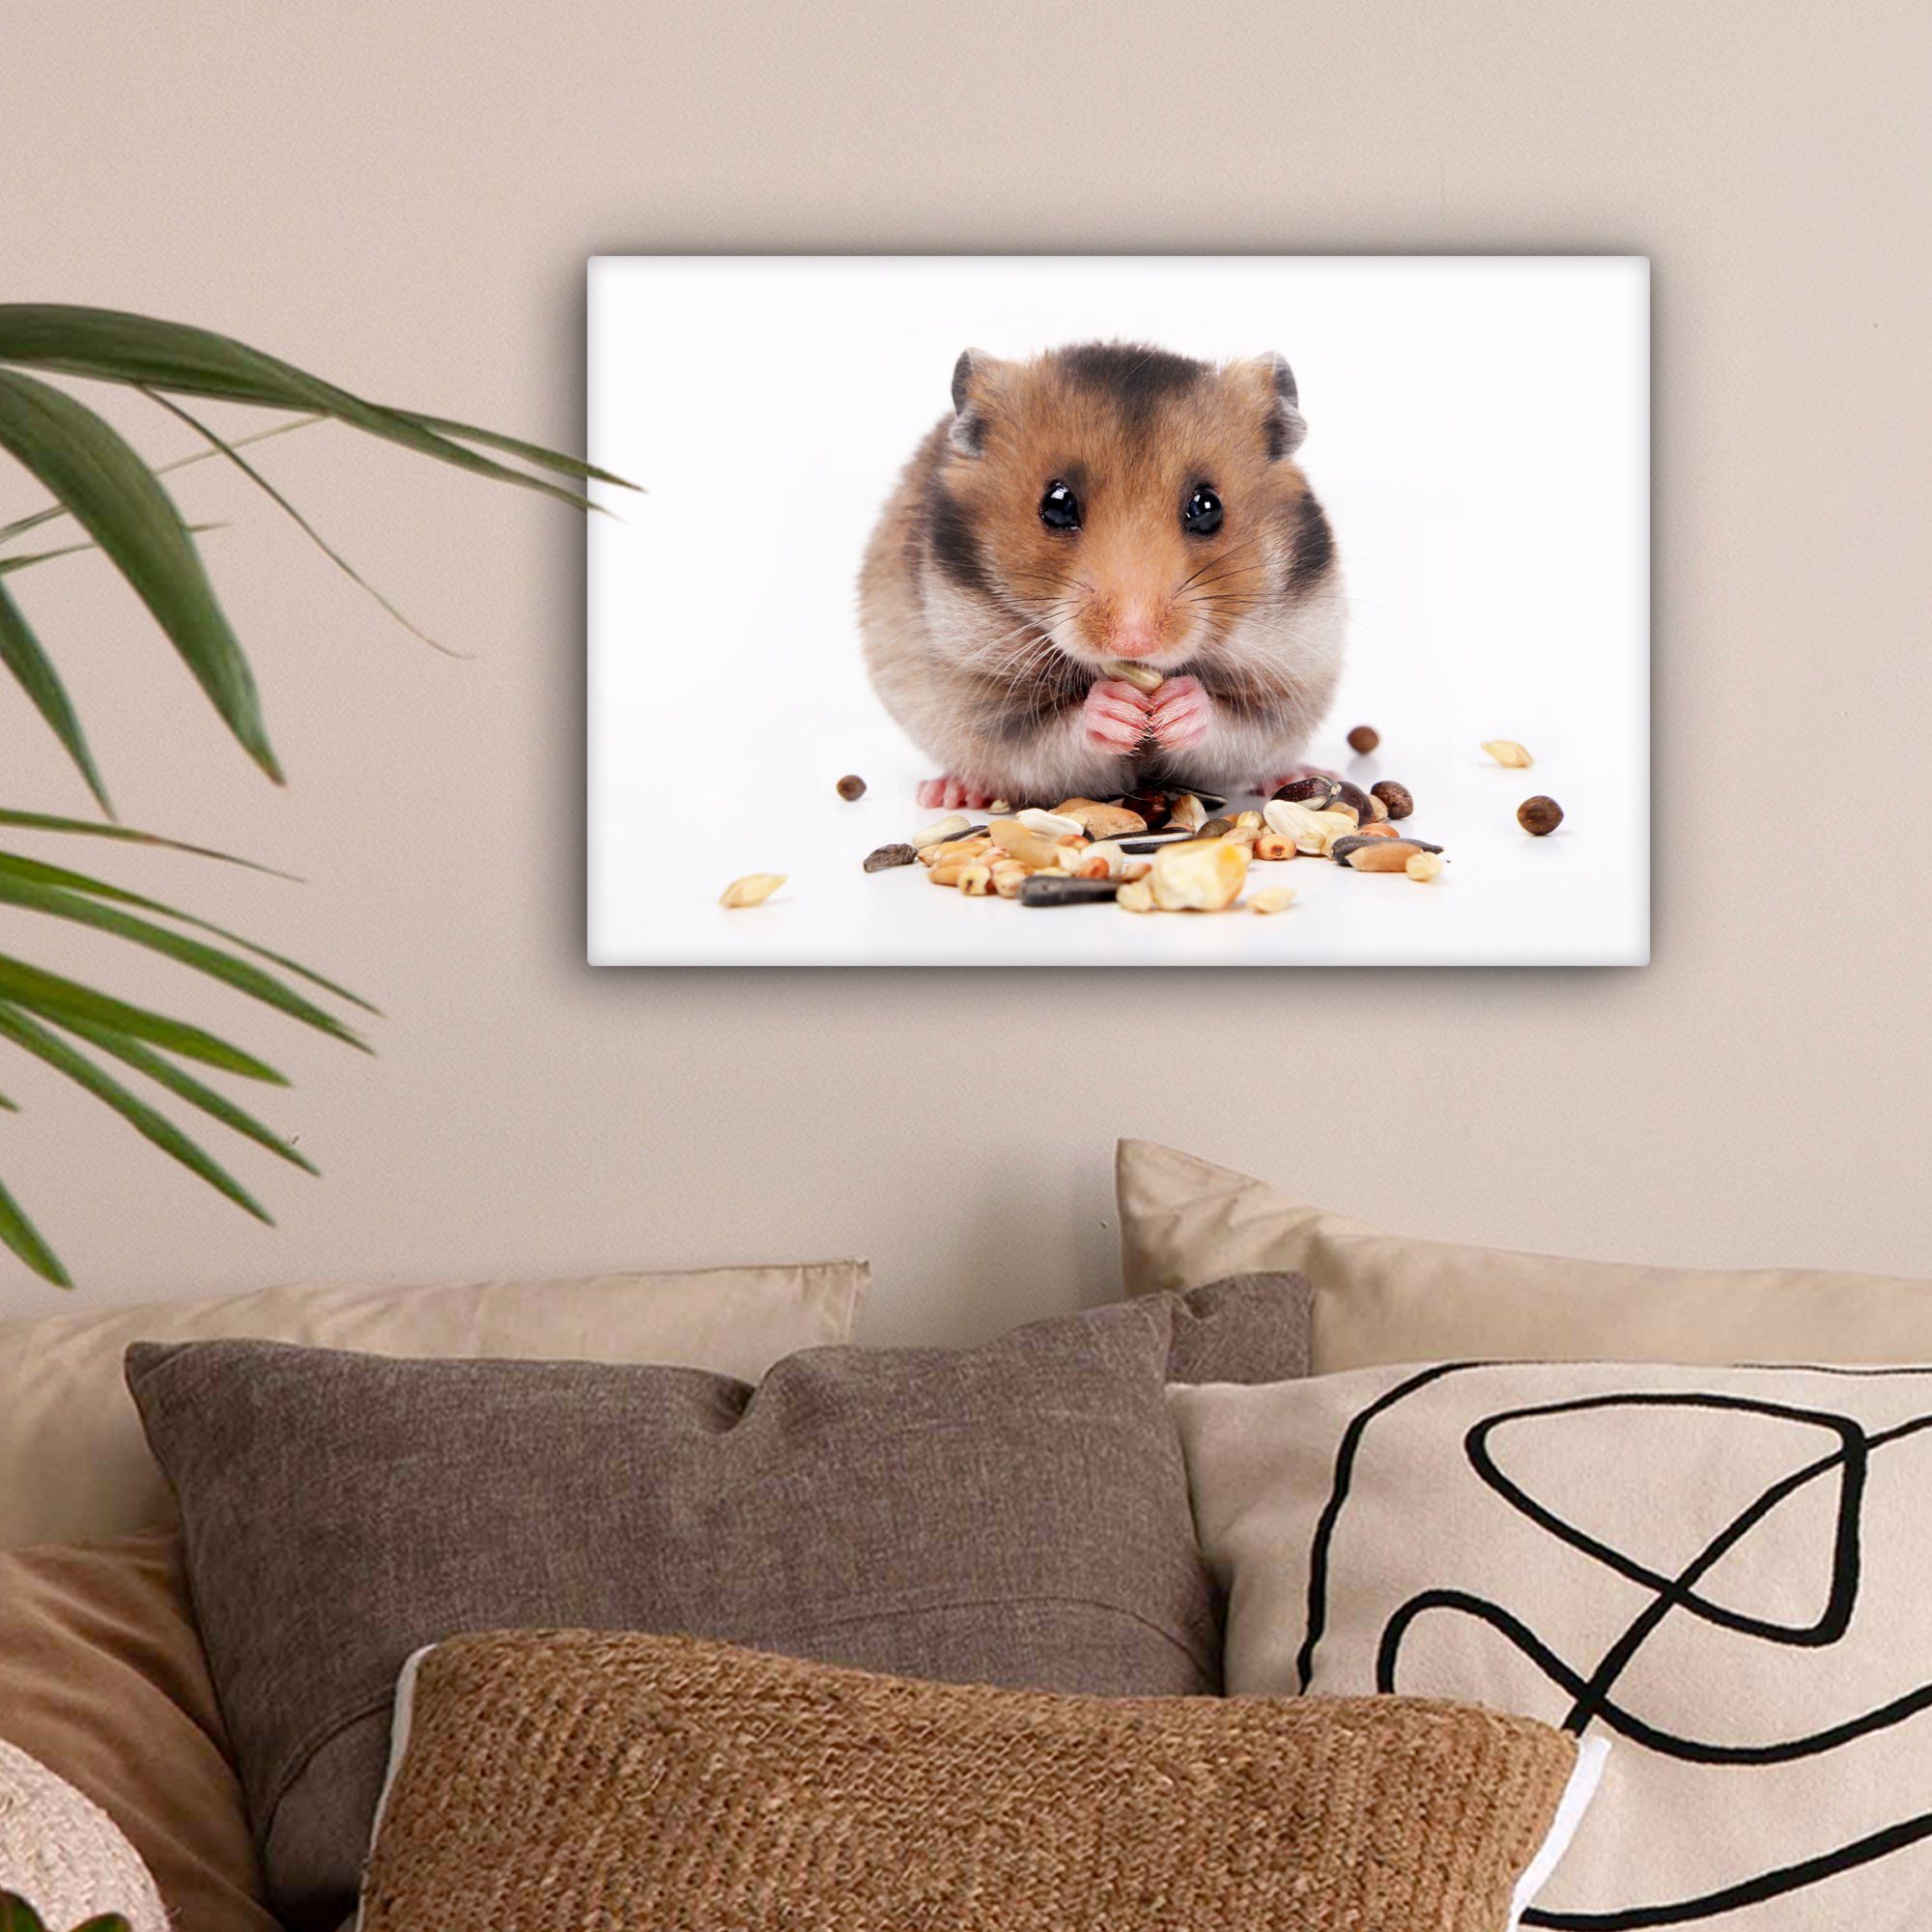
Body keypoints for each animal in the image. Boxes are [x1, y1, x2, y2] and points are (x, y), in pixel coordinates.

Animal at [858, 340, 1345, 811]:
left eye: (1208, 507)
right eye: (1056, 505)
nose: (1134, 643)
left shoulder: (1290, 675)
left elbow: (1235, 724)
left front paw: (1176, 706)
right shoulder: (983, 695)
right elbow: (1055, 735)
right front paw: (1118, 710)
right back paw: (949, 793)